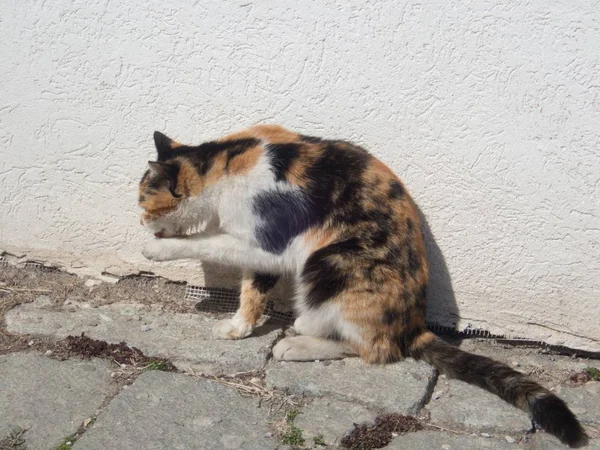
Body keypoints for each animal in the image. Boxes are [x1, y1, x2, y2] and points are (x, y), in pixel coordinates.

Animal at [139, 124, 584, 446]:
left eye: (143, 200)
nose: (140, 221)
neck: (224, 161)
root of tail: (414, 324)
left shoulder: (267, 240)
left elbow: (210, 242)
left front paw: (157, 249)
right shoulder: (259, 250)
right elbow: (253, 285)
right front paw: (239, 327)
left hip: (328, 263)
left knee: (375, 349)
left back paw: (296, 344)